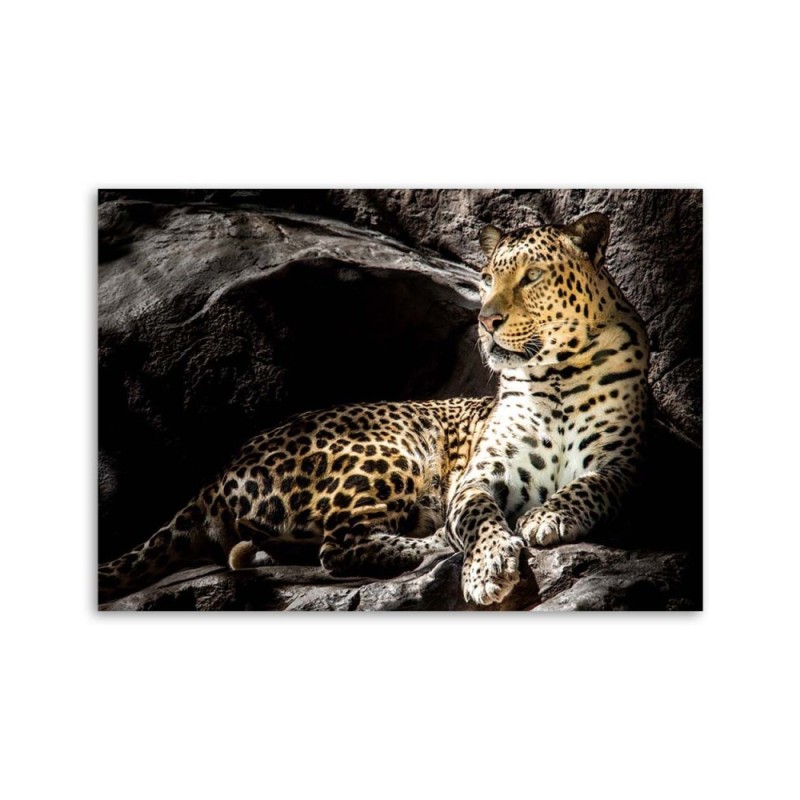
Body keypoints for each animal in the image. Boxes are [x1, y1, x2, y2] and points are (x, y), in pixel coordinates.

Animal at [98, 212, 649, 608]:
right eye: (487, 278)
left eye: (532, 276)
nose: (486, 320)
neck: (556, 375)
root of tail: (218, 472)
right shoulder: (479, 476)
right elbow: (477, 516)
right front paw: (488, 565)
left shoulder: (624, 466)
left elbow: (592, 485)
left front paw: (549, 515)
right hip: (392, 451)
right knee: (340, 549)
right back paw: (437, 543)